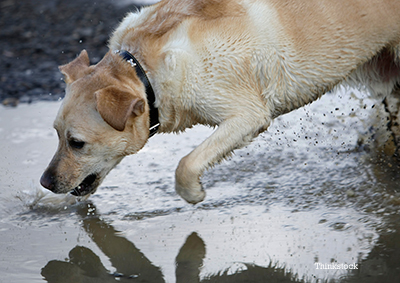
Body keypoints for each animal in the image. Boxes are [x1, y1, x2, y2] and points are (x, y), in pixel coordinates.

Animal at [40, 0, 400, 204]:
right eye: (56, 135)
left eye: (77, 143)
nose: (44, 182)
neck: (143, 71)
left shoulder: (248, 115)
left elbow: (186, 163)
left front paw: (193, 194)